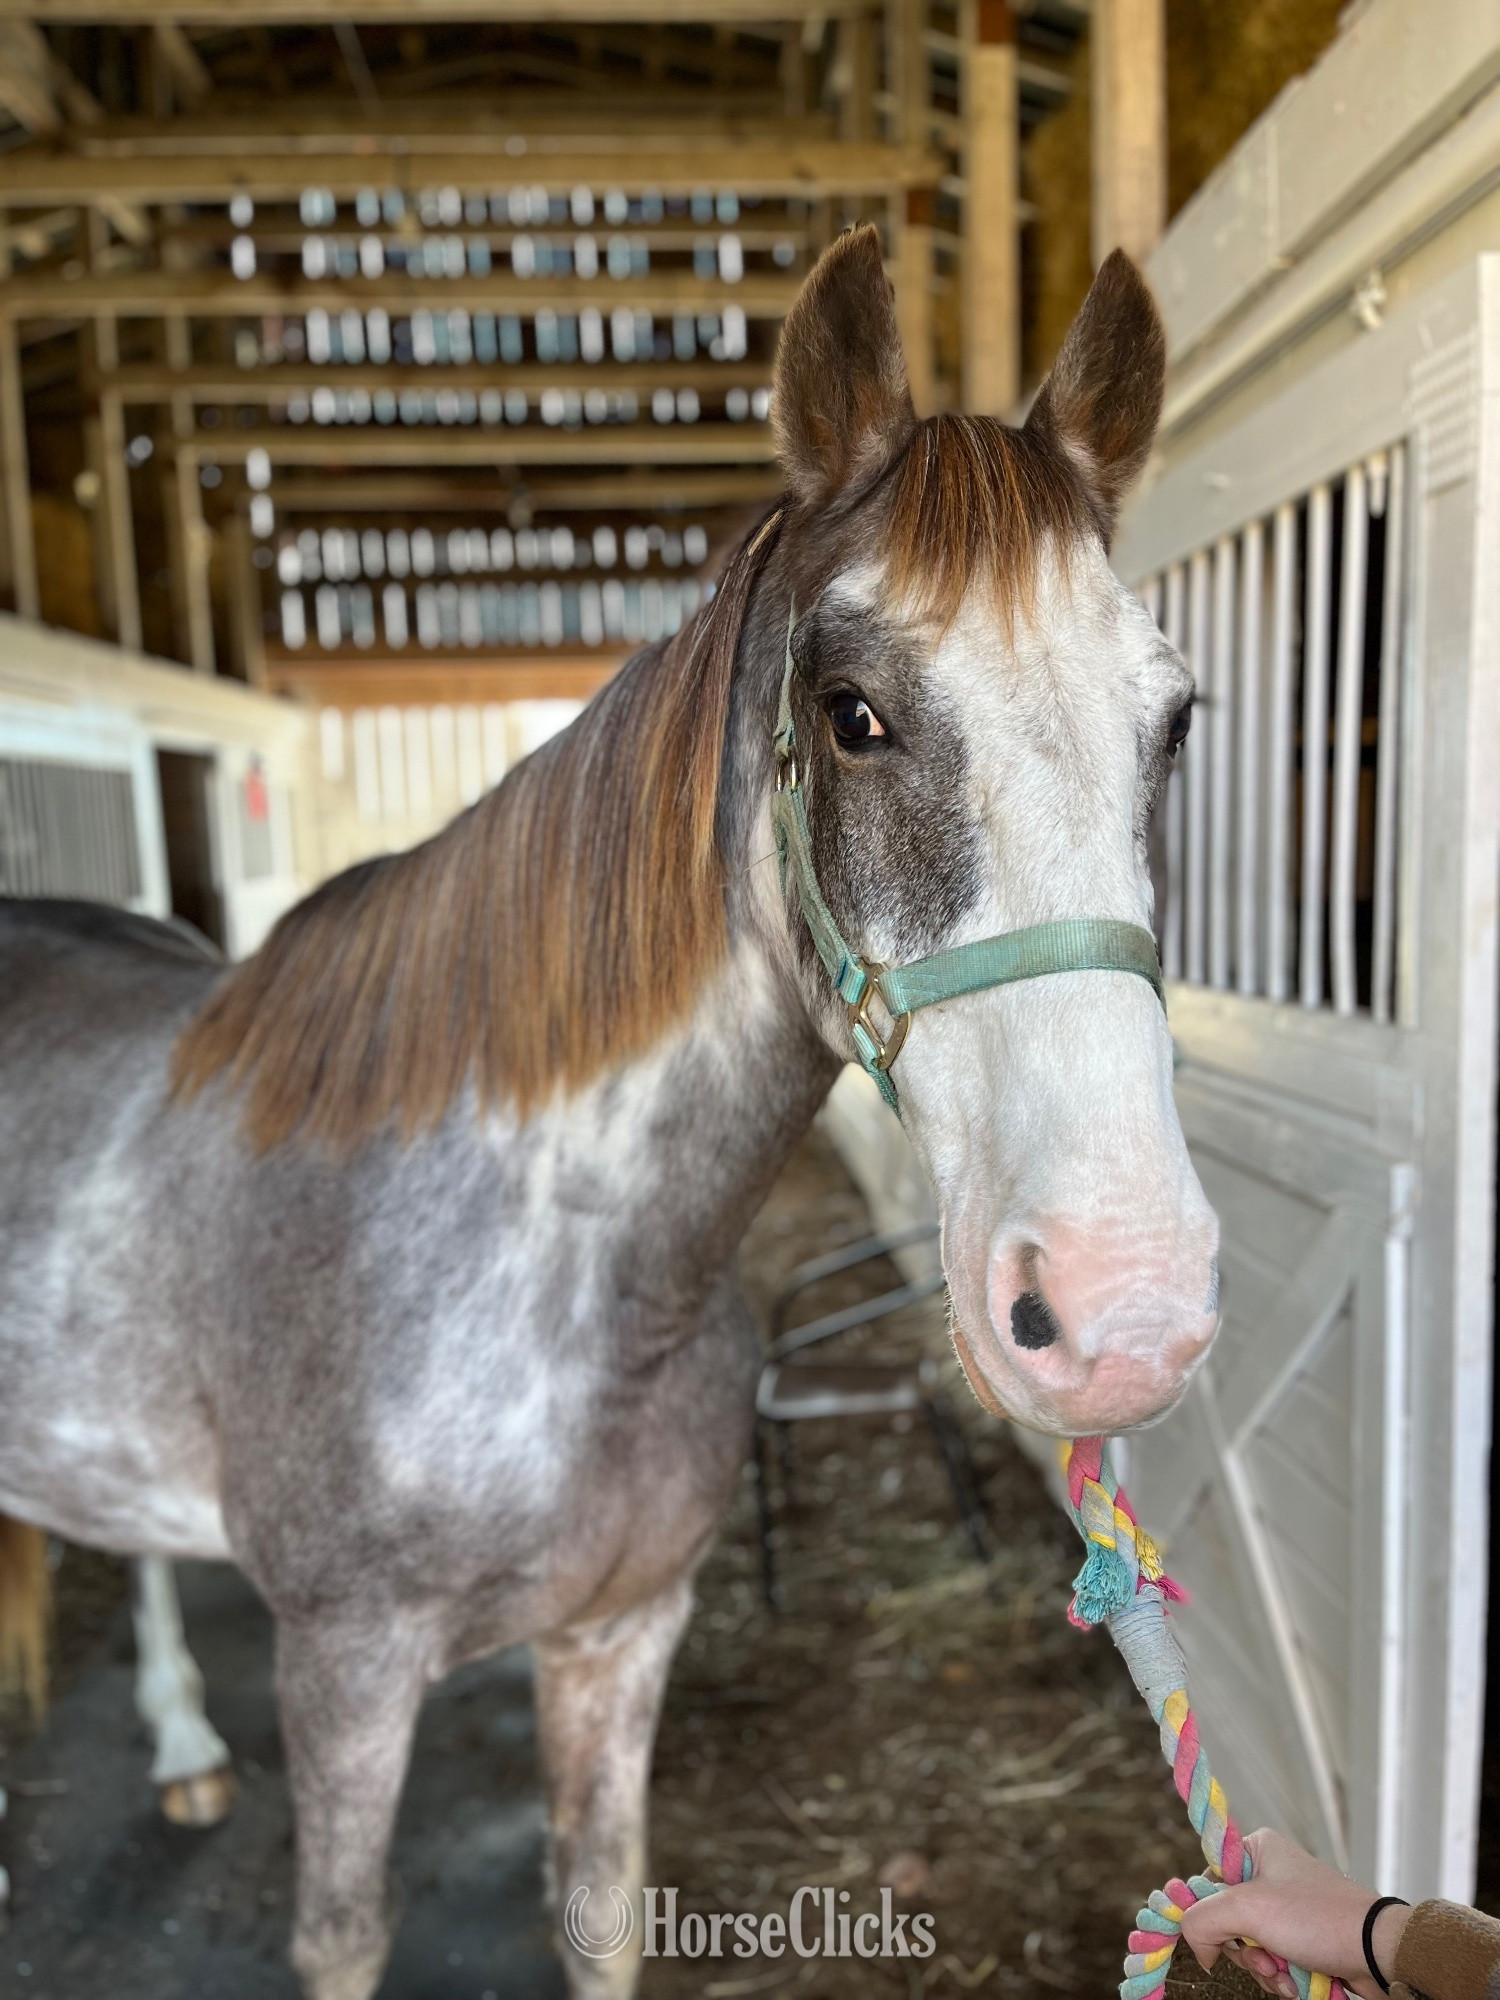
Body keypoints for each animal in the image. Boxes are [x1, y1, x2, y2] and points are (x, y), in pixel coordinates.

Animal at [0, 227, 1219, 2000]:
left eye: (1174, 720)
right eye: (852, 712)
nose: (1128, 1307)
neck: (557, 1273)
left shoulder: (621, 1634)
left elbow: (599, 1907)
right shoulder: (344, 1672)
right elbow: (344, 1934)